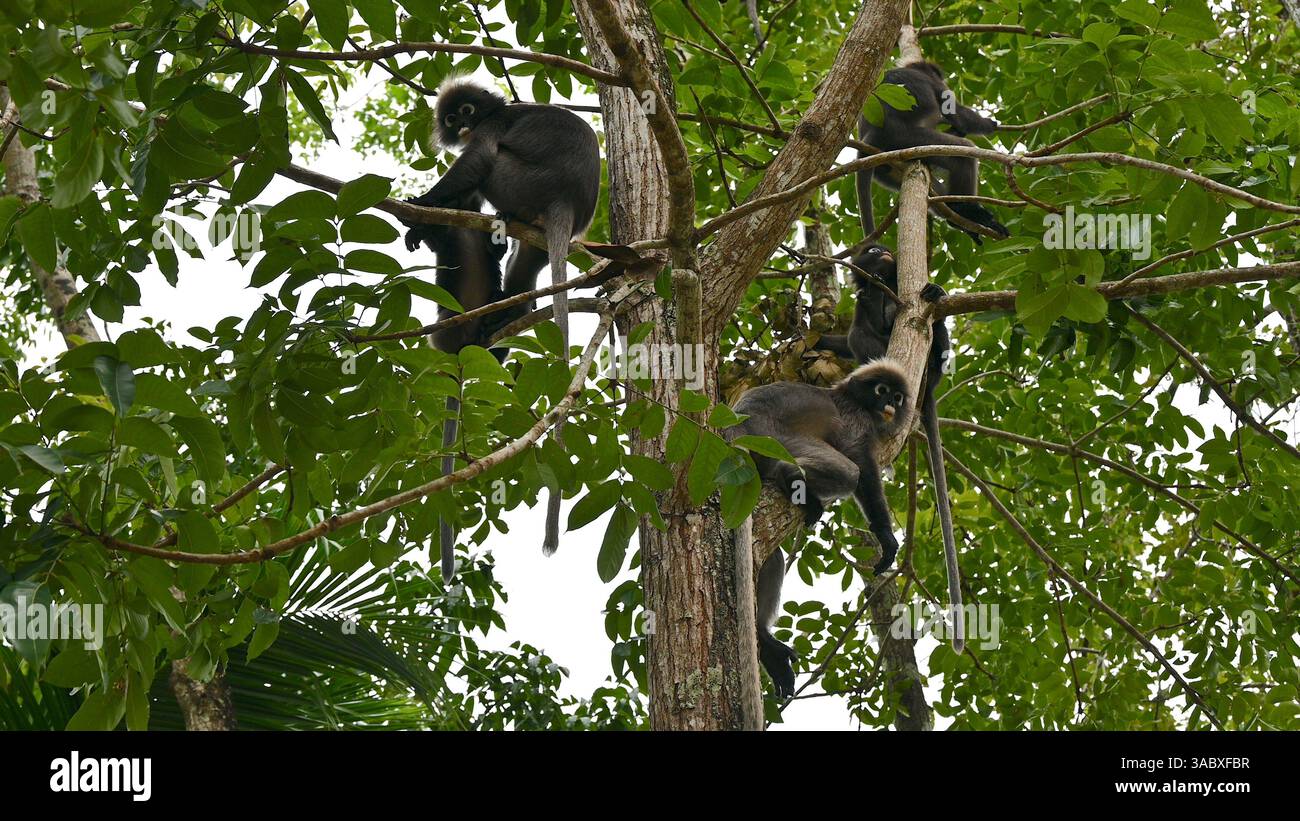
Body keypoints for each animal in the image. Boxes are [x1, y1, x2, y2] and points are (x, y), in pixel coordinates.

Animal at [729, 359, 910, 698]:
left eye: (898, 397)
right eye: (882, 391)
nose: (890, 405)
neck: (854, 400)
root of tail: (737, 423)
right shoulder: (855, 424)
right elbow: (862, 467)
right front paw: (886, 538)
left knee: (773, 557)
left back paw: (764, 641)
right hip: (773, 438)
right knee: (842, 470)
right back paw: (794, 481)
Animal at [814, 244, 965, 653]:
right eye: (871, 251)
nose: (882, 251)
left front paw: (934, 291)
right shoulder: (864, 299)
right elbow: (861, 325)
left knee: (937, 337)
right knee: (859, 334)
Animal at [857, 61, 1009, 245]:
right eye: (938, 75)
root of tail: (874, 132)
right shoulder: (934, 82)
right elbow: (957, 114)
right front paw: (989, 124)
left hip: (887, 168)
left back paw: (960, 218)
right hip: (909, 139)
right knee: (962, 155)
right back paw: (966, 210)